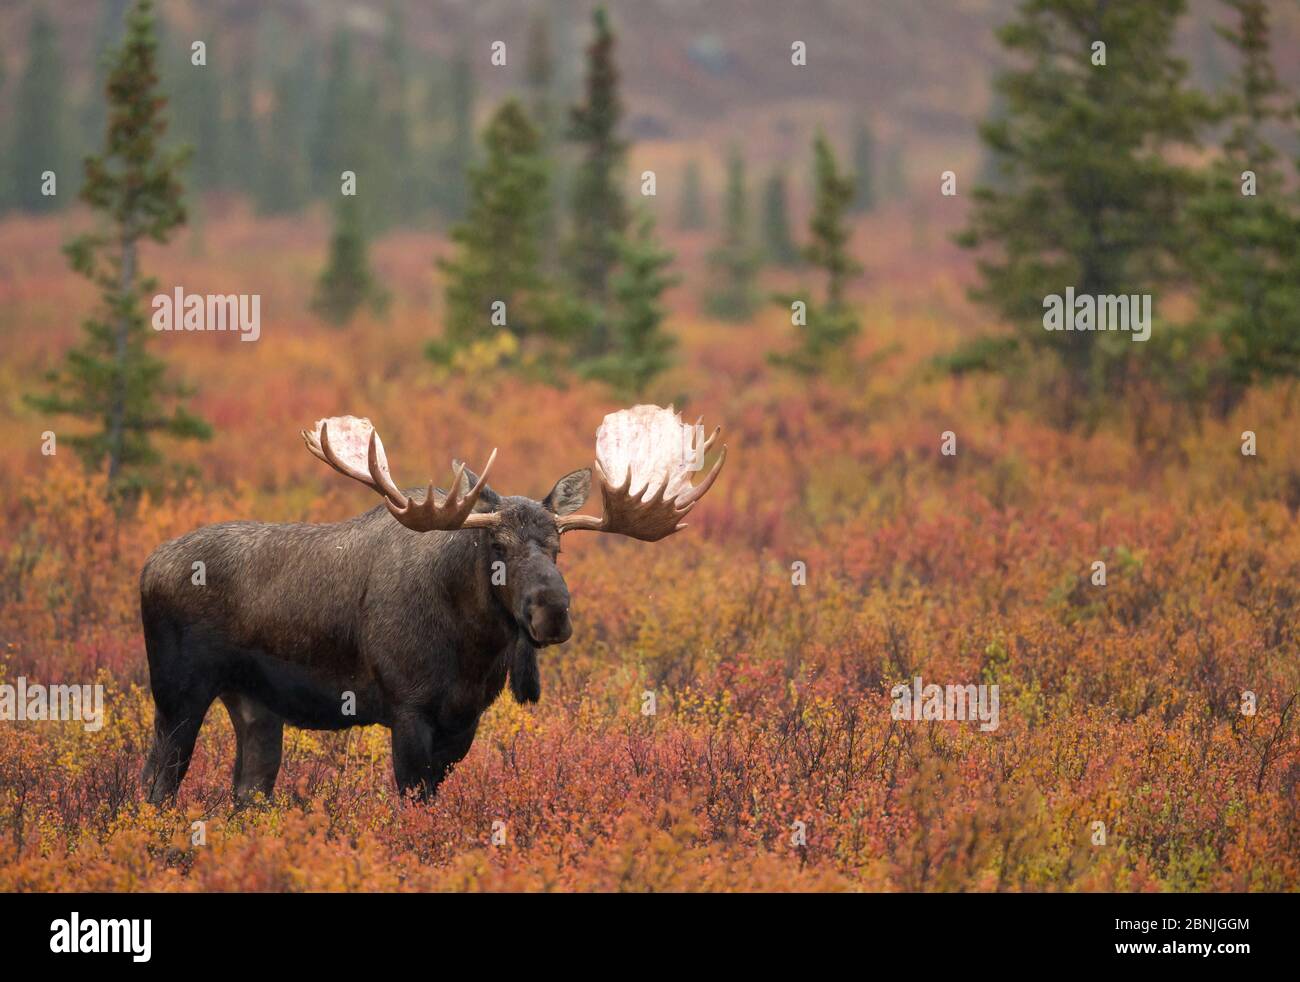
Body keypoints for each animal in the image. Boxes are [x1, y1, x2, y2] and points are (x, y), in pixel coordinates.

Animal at [147, 403, 728, 801]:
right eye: (496, 545)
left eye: (559, 547)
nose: (552, 613)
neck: (471, 648)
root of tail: (148, 565)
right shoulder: (408, 709)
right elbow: (413, 801)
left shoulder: (463, 721)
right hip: (177, 693)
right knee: (156, 781)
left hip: (255, 704)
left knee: (247, 790)